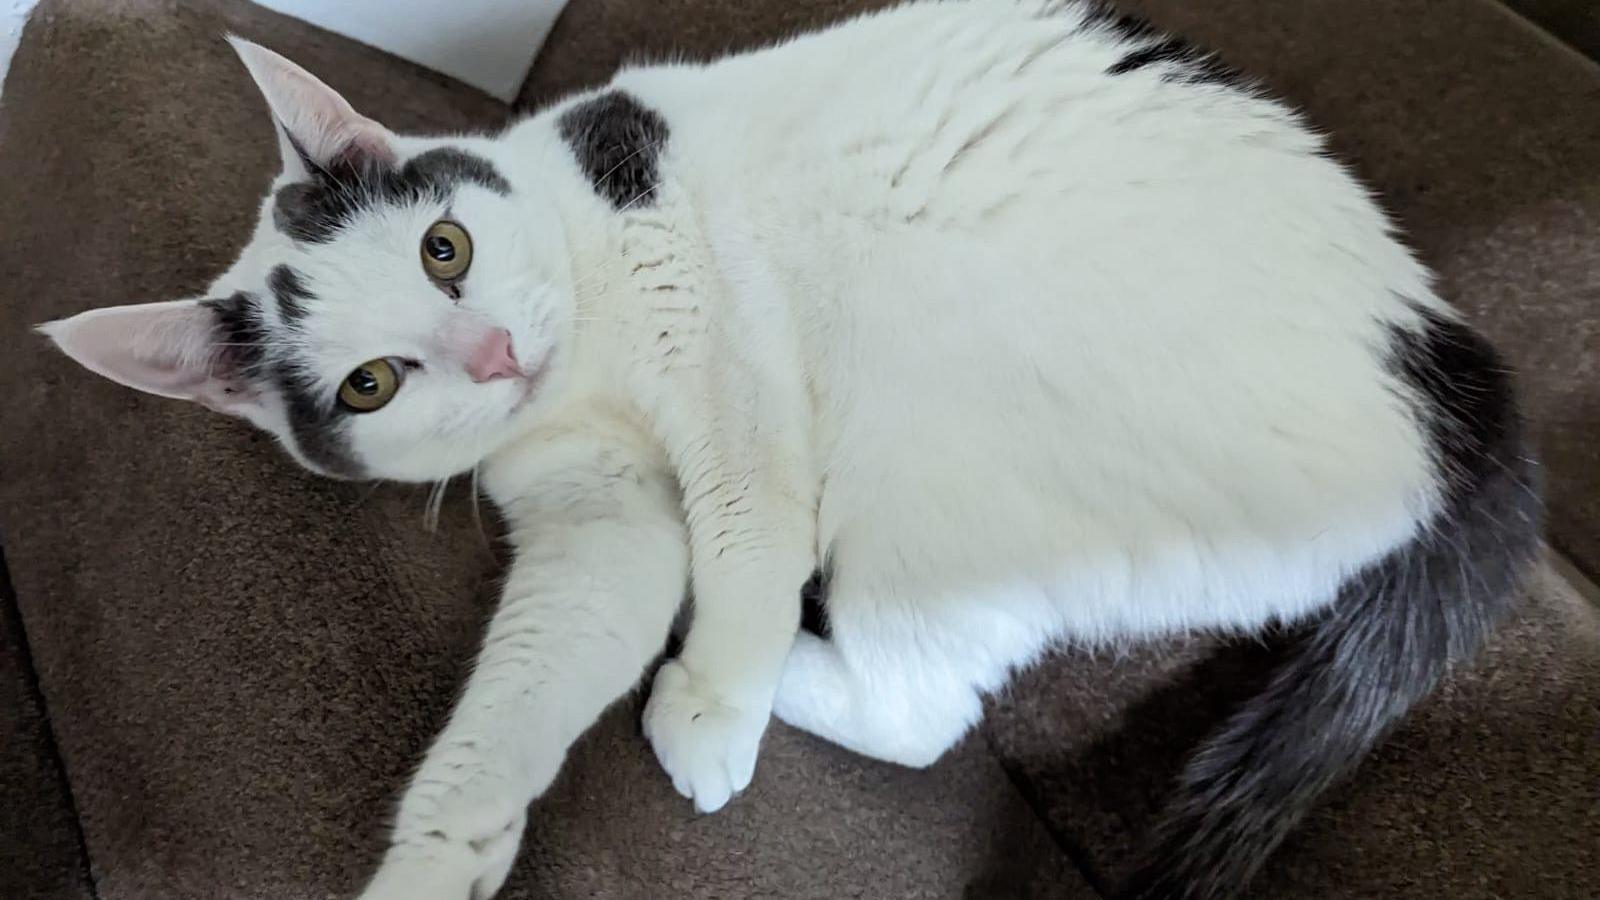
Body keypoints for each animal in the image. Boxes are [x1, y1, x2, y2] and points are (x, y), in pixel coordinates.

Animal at [37, 3, 1536, 890]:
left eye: (443, 249)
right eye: (369, 384)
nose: (498, 357)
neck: (590, 359)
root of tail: (1454, 407)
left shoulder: (728, 362)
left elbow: (748, 525)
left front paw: (715, 695)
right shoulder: (600, 514)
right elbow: (538, 677)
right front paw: (445, 853)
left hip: (928, 468)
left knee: (923, 709)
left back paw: (728, 689)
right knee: (932, 705)